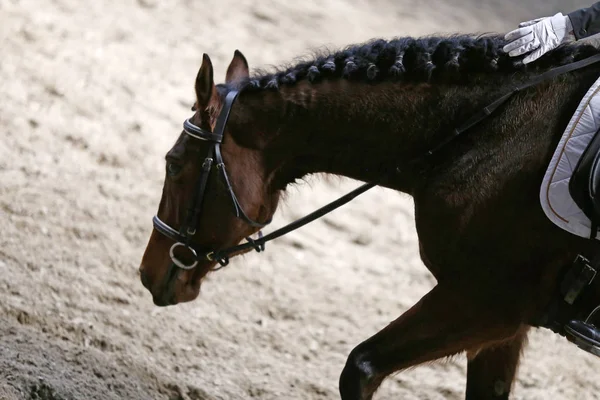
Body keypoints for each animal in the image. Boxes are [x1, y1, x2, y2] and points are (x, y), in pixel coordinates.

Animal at [138, 34, 600, 400]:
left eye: (173, 164)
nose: (146, 273)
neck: (488, 134)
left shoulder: (485, 302)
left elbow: (360, 368)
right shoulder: (507, 324)